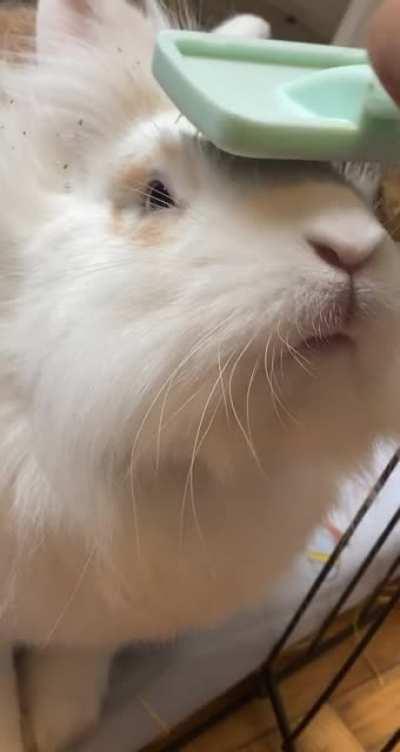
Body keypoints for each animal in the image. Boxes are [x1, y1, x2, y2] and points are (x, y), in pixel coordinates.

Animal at [0, 0, 400, 749]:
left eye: (338, 178)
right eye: (156, 195)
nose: (353, 249)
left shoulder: (97, 611)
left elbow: (74, 662)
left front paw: (62, 724)